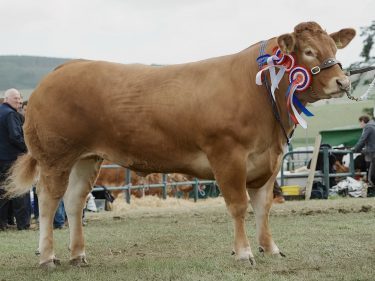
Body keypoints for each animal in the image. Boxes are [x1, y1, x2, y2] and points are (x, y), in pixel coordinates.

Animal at [3, 21, 356, 266]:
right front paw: (244, 253)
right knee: (48, 202)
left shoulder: (268, 159)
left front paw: (270, 248)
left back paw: (78, 255)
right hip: (54, 157)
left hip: (87, 158)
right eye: (308, 52)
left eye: (334, 49)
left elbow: (263, 207)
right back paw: (47, 257)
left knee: (75, 201)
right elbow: (239, 205)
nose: (343, 82)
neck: (260, 90)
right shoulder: (228, 155)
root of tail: (62, 69)